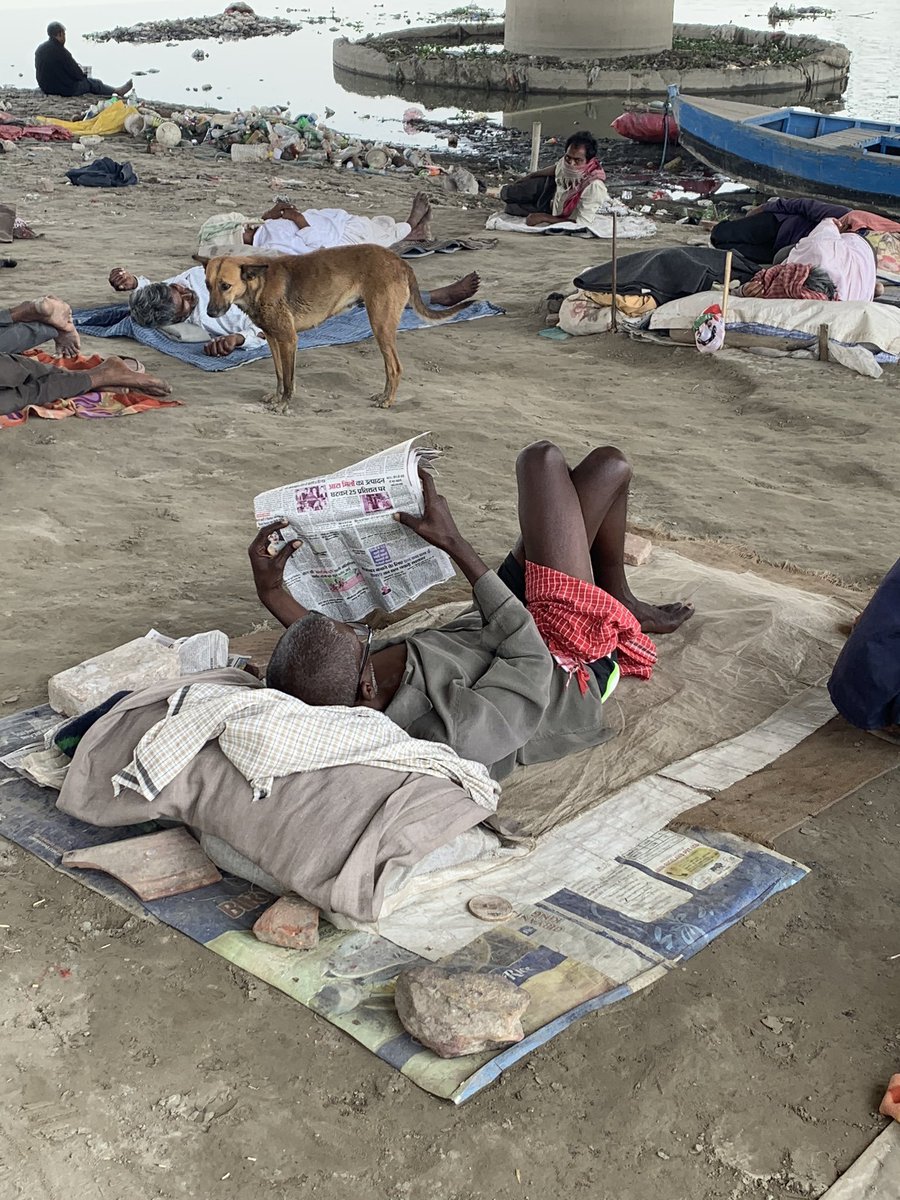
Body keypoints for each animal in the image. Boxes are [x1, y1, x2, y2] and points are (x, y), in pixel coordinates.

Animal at [198, 243, 480, 412]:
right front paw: (277, 397)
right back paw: (383, 396)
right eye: (207, 285)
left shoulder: (289, 339)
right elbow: (279, 375)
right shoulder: (273, 338)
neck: (259, 282)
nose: (210, 312)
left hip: (380, 325)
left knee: (395, 367)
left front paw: (284, 404)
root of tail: (399, 261)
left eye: (225, 286)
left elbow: (289, 379)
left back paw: (388, 400)